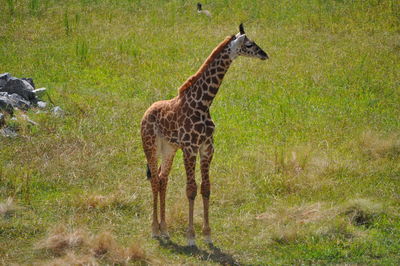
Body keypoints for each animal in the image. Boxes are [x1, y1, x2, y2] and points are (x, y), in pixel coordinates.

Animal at [141, 23, 268, 246]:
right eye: (249, 44)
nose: (264, 54)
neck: (203, 103)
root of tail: (146, 113)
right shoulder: (190, 148)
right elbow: (191, 189)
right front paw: (191, 237)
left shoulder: (207, 147)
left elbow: (206, 188)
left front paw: (208, 235)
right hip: (151, 146)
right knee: (155, 180)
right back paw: (155, 230)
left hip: (169, 148)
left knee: (162, 179)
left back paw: (165, 230)